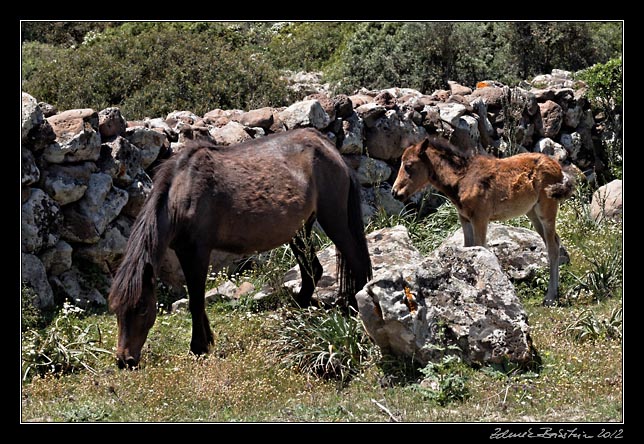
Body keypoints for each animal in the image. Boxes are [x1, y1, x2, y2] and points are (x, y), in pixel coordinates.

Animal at [109, 127, 372, 368]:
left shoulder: (198, 251)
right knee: (312, 271)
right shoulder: (184, 251)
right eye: (117, 310)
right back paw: (296, 313)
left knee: (356, 263)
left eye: (142, 309)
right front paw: (207, 340)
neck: (181, 192)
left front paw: (198, 347)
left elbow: (196, 300)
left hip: (333, 220)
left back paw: (353, 312)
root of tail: (329, 148)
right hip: (299, 230)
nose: (125, 360)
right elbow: (196, 298)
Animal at [390, 137, 576, 306]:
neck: (461, 179)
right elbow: (468, 248)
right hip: (532, 213)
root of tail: (559, 169)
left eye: (408, 166)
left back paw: (550, 298)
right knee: (555, 241)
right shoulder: (465, 219)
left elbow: (480, 249)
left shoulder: (480, 218)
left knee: (552, 248)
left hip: (546, 208)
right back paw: (555, 292)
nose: (395, 192)